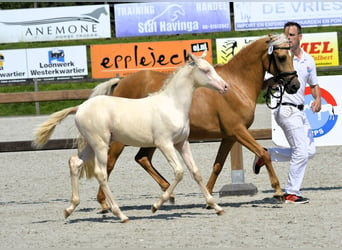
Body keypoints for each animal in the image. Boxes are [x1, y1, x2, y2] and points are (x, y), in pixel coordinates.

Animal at [33, 52, 228, 223]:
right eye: (205, 70)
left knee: (74, 162)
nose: (225, 87)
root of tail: (80, 107)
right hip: (101, 144)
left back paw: (70, 209)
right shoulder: (164, 143)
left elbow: (195, 172)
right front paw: (156, 205)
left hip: (91, 144)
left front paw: (216, 207)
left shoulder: (182, 143)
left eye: (213, 68)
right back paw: (120, 214)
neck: (172, 105)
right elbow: (179, 172)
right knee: (101, 173)